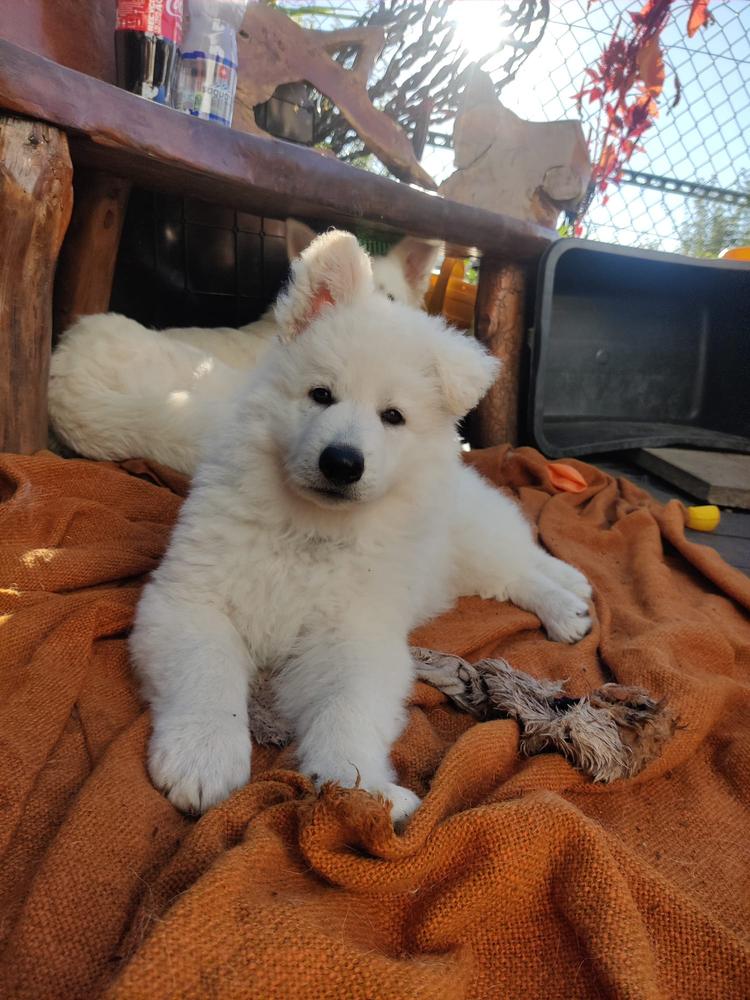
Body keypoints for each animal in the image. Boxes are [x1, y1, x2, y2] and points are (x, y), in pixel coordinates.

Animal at [132, 230, 596, 824]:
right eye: (321, 394)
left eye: (392, 416)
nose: (341, 462)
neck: (310, 531)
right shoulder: (190, 599)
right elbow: (206, 671)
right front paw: (203, 756)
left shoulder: (354, 633)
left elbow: (348, 709)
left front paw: (358, 786)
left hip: (475, 541)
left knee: (522, 569)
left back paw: (566, 605)